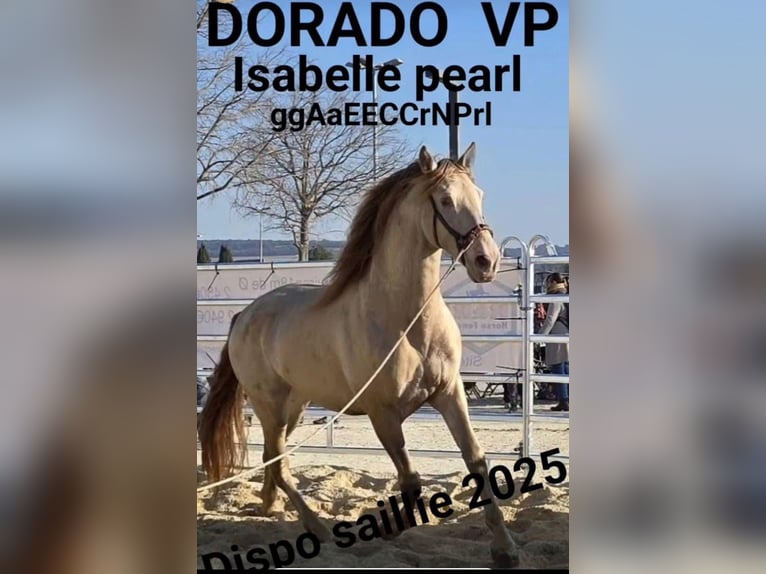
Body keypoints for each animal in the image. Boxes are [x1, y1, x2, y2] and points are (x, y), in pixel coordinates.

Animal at [198, 143, 519, 567]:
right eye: (445, 199)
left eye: (479, 196)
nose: (487, 261)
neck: (407, 322)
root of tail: (244, 316)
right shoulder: (383, 413)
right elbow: (410, 480)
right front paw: (395, 531)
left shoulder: (450, 394)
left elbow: (477, 462)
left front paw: (505, 549)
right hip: (269, 407)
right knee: (279, 463)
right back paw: (317, 528)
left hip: (294, 408)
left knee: (272, 458)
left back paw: (270, 507)